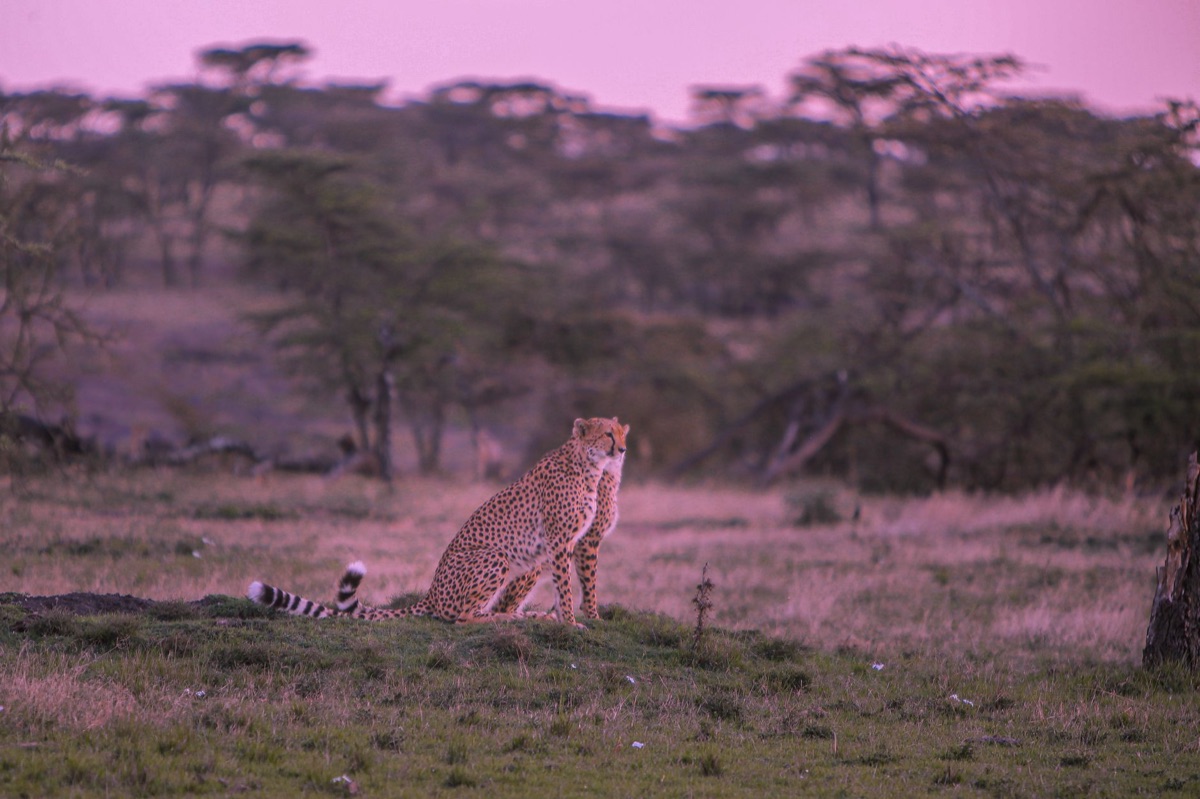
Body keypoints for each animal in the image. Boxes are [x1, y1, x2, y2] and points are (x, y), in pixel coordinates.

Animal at [247, 417, 629, 628]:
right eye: (607, 435)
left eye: (622, 434)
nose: (623, 450)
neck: (589, 466)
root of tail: (431, 593)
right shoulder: (562, 541)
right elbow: (567, 587)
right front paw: (574, 623)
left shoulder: (568, 543)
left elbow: (566, 587)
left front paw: (567, 619)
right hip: (495, 556)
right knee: (460, 617)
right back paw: (508, 618)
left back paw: (527, 617)